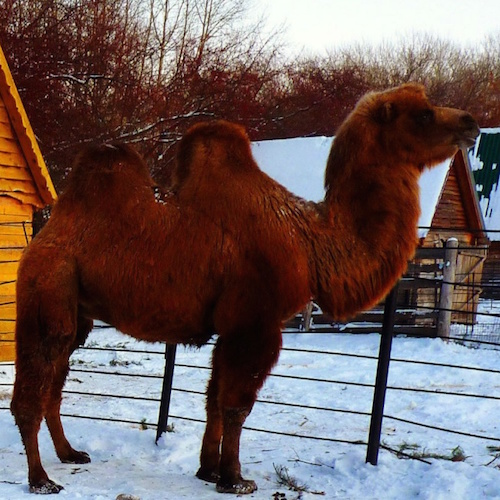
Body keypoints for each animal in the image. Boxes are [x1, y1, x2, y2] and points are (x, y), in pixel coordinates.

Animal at [10, 84, 480, 494]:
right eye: (423, 114)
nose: (470, 121)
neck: (310, 242)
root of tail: (45, 231)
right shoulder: (257, 321)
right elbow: (237, 405)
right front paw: (236, 479)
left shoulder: (232, 326)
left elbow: (214, 399)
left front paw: (207, 470)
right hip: (47, 286)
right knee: (32, 390)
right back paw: (41, 480)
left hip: (78, 312)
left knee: (55, 382)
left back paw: (70, 454)